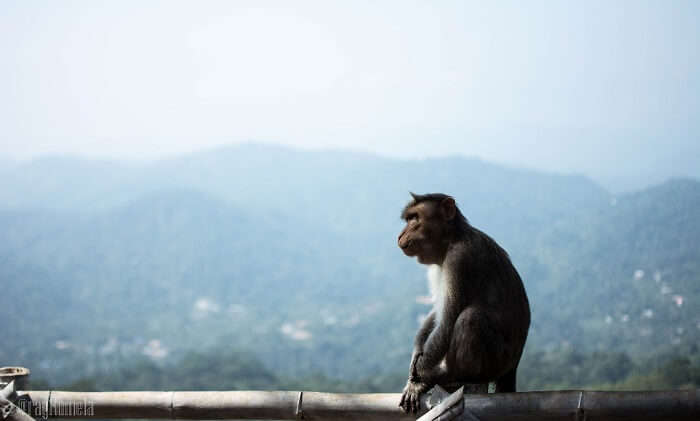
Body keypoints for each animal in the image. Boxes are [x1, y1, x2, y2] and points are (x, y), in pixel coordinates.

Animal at [396, 192, 528, 412]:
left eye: (414, 218)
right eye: (408, 219)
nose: (400, 235)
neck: (452, 240)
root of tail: (514, 365)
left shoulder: (460, 259)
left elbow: (448, 320)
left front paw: (418, 381)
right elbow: (437, 311)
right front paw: (415, 358)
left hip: (497, 361)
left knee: (470, 317)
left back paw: (449, 376)